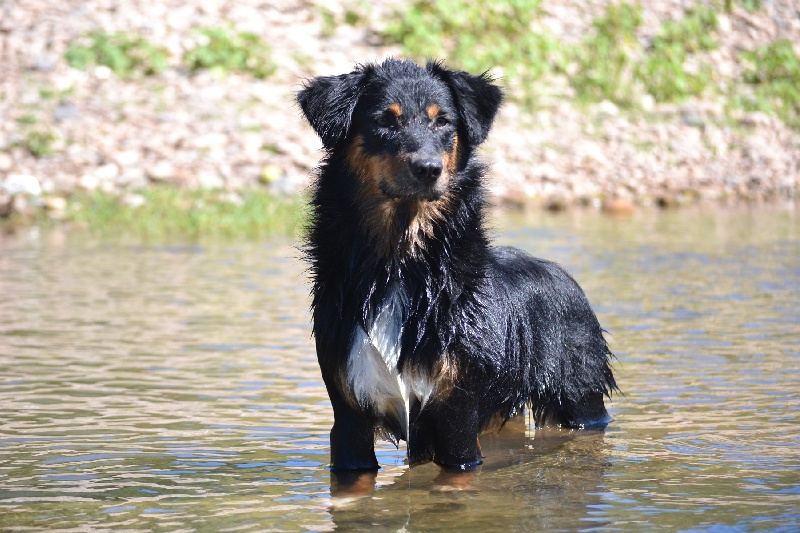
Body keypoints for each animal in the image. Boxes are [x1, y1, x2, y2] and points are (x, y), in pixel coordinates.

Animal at [296, 58, 616, 472]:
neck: (400, 262)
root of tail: (562, 273)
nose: (428, 168)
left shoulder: (456, 414)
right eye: (385, 120)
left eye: (443, 122)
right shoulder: (349, 415)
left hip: (579, 397)